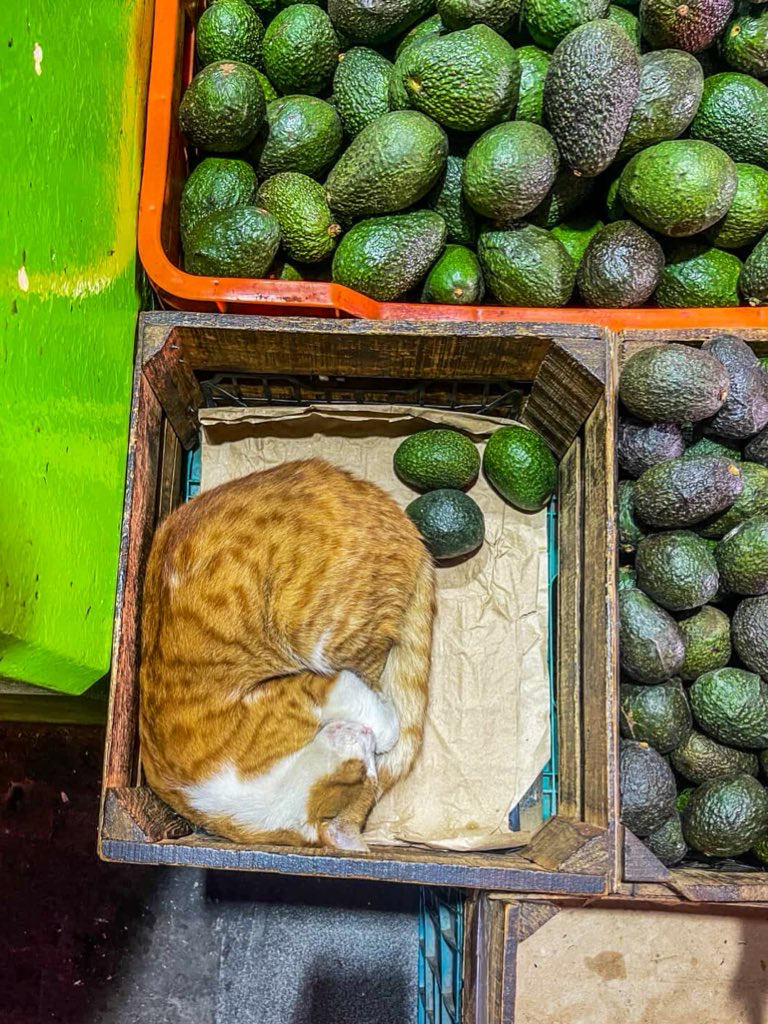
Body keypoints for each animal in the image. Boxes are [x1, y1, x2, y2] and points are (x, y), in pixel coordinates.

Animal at [139, 457, 435, 851]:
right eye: (368, 769)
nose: (368, 743)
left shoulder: (313, 687)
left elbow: (381, 716)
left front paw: (383, 726)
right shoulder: (317, 689)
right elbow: (381, 718)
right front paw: (382, 727)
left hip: (322, 638)